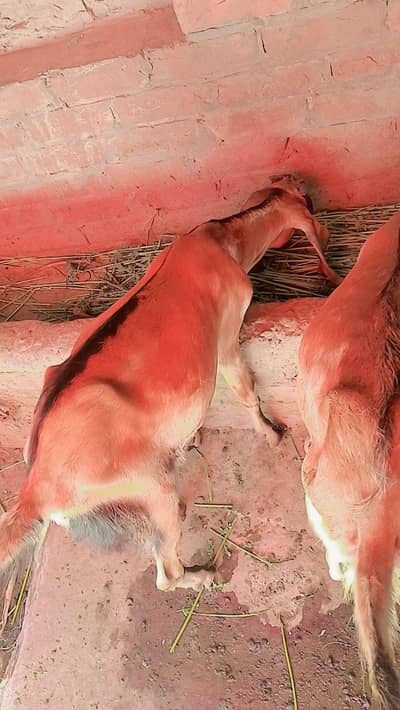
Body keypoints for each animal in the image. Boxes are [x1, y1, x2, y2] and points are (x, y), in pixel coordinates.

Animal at [0, 177, 339, 594]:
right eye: (305, 200)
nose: (312, 194)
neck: (220, 240)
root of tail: (37, 488)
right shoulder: (228, 332)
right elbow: (244, 388)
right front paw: (272, 433)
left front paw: (196, 436)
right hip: (149, 486)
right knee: (166, 572)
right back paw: (205, 575)